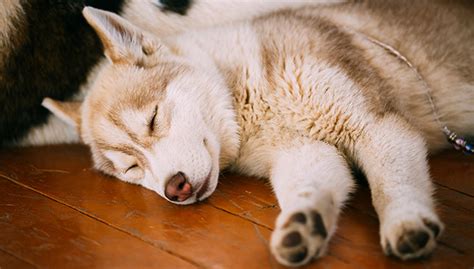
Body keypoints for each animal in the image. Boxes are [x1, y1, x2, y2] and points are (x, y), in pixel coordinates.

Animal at [42, 0, 472, 266]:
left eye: (153, 118)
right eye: (132, 169)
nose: (174, 188)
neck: (249, 97)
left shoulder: (377, 127)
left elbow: (392, 186)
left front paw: (406, 222)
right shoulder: (303, 152)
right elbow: (309, 189)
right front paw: (303, 225)